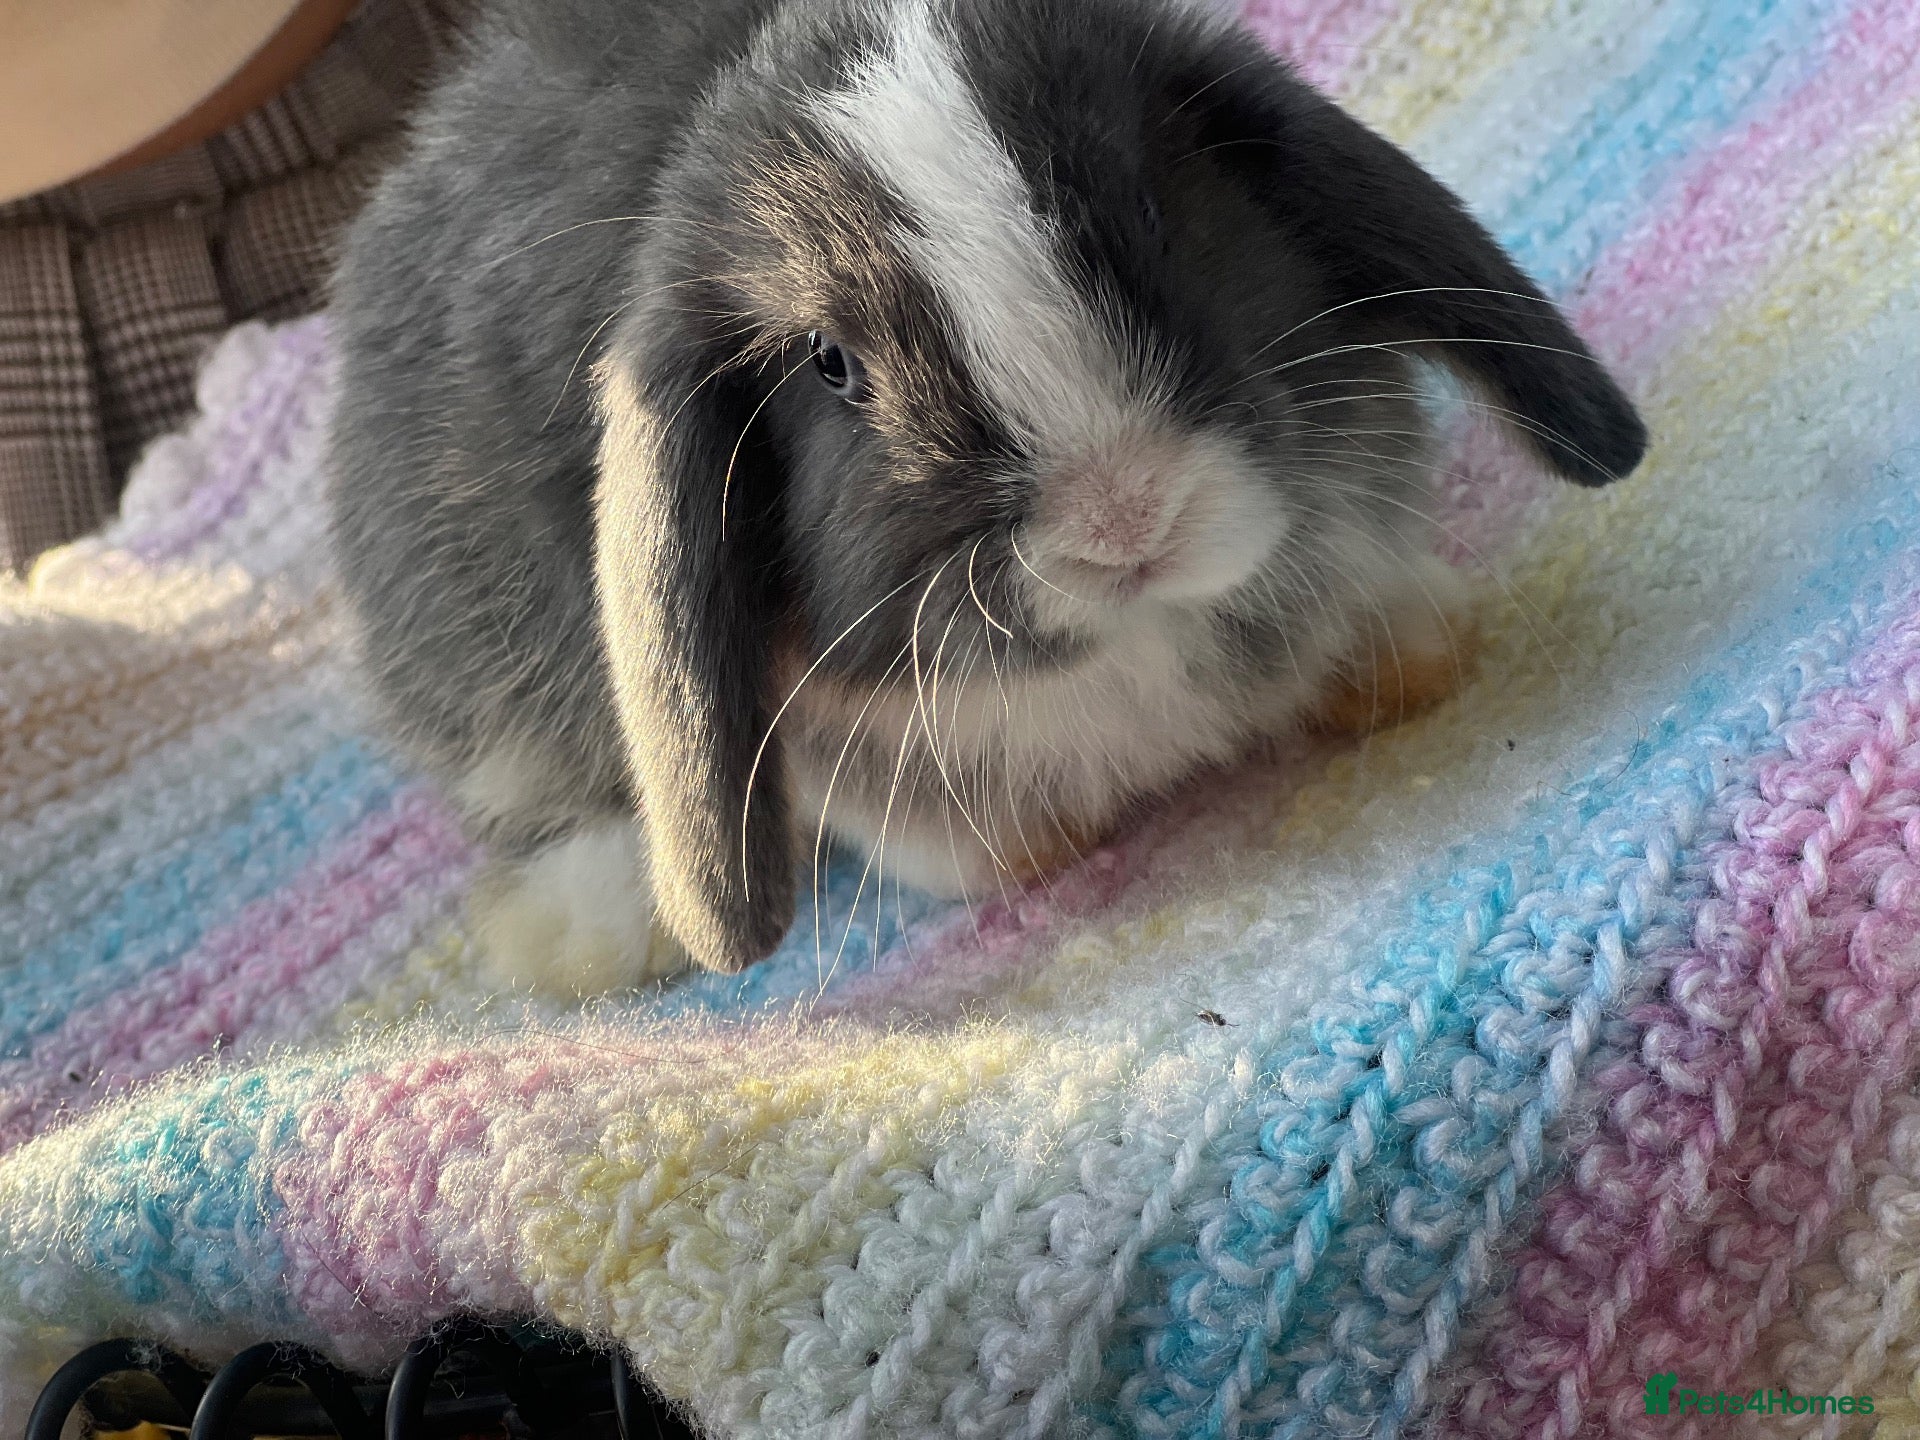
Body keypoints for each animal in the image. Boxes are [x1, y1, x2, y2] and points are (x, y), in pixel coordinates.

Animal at [326, 0, 1647, 993]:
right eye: (831, 365)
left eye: (1155, 213)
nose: (1124, 521)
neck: (1144, 637)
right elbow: (924, 837)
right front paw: (1035, 844)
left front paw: (1412, 649)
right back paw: (588, 933)